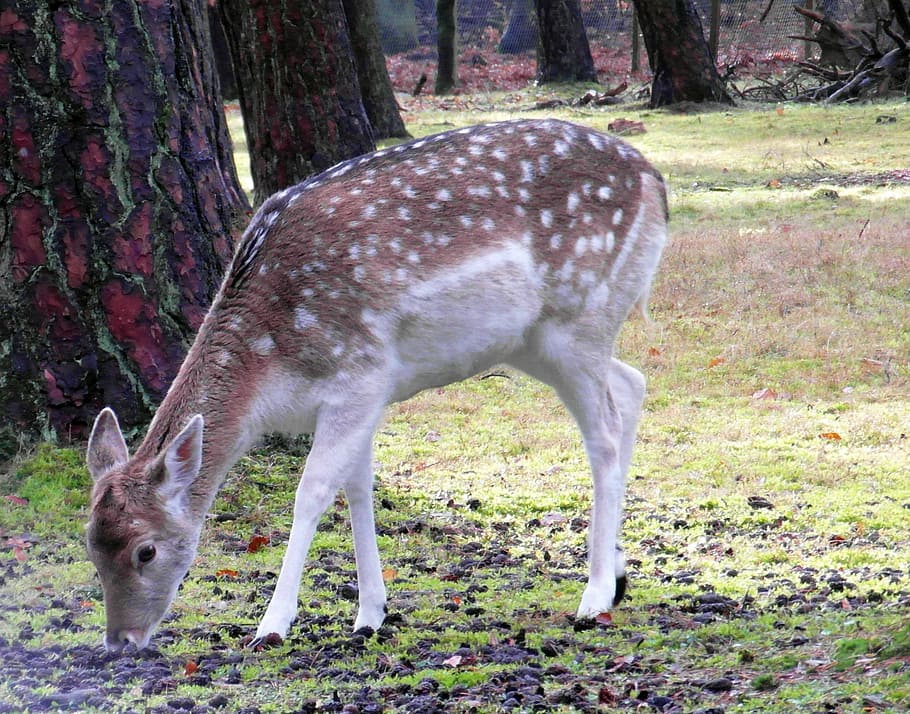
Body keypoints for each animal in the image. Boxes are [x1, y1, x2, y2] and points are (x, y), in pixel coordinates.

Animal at [85, 118, 668, 653]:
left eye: (145, 550)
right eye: (91, 546)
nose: (119, 641)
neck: (271, 373)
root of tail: (655, 182)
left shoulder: (357, 374)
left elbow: (313, 492)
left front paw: (272, 625)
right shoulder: (363, 397)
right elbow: (358, 488)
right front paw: (369, 614)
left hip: (580, 317)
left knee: (604, 432)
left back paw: (594, 596)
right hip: (537, 343)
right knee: (632, 383)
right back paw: (618, 573)